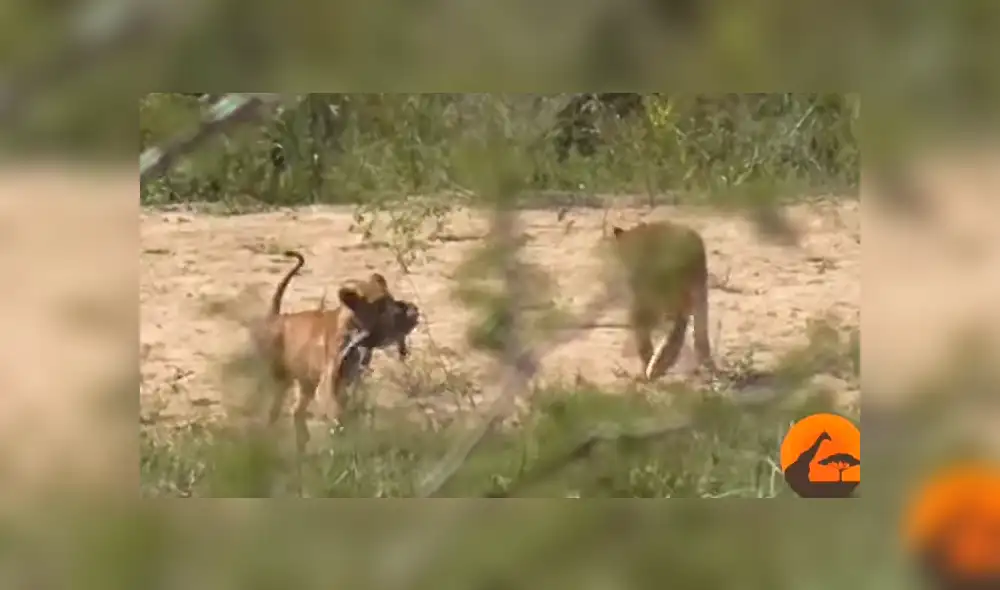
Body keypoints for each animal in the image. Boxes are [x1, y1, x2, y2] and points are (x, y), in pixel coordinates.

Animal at [255, 251, 419, 453]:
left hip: (306, 383)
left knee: (296, 411)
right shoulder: (330, 380)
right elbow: (337, 410)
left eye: (389, 299)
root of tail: (277, 317)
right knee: (273, 410)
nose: (411, 311)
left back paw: (301, 446)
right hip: (280, 378)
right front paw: (341, 437)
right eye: (379, 304)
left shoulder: (352, 377)